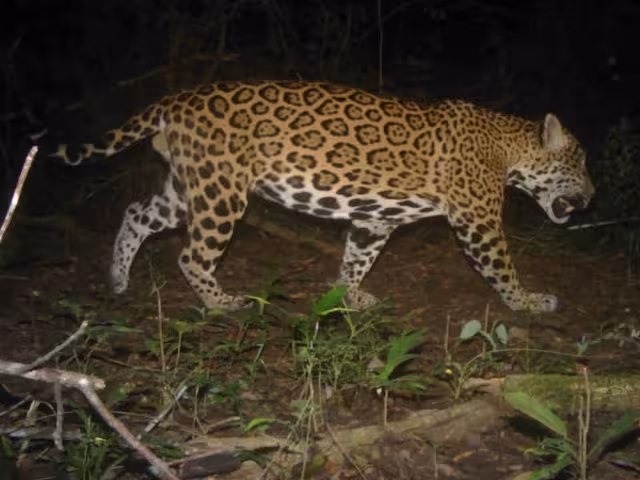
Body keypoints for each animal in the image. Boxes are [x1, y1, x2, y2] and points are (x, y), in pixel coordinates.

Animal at [50, 80, 594, 313]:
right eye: (580, 163)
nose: (592, 195)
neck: (508, 147)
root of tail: (176, 98)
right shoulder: (478, 220)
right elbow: (501, 266)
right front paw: (527, 301)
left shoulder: (375, 219)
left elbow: (358, 257)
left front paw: (349, 295)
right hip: (222, 193)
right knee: (190, 255)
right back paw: (223, 302)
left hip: (189, 188)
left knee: (137, 212)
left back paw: (118, 279)